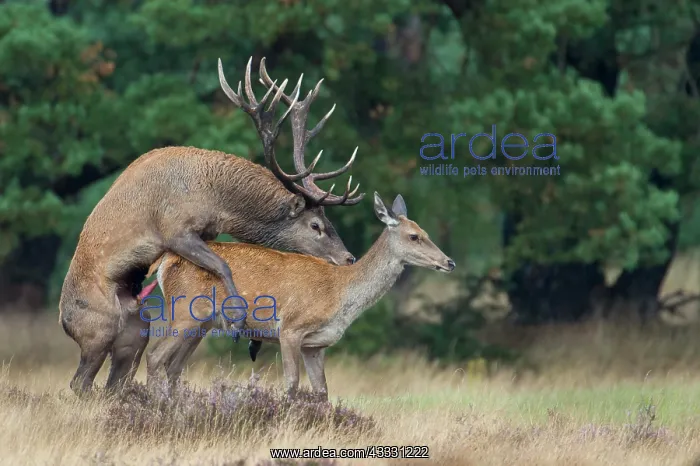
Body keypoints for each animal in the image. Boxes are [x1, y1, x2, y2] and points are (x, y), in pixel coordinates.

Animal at [58, 56, 364, 395]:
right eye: (315, 226)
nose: (348, 257)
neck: (214, 198)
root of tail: (64, 322)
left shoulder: (206, 232)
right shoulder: (175, 229)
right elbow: (223, 266)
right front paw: (239, 322)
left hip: (136, 329)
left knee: (114, 378)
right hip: (97, 330)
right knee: (79, 381)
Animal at [146, 192, 455, 400]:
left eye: (426, 231)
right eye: (414, 236)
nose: (449, 262)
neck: (341, 295)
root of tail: (164, 262)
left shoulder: (316, 345)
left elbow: (322, 391)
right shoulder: (291, 328)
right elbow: (292, 383)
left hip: (203, 323)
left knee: (174, 367)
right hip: (185, 311)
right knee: (155, 355)